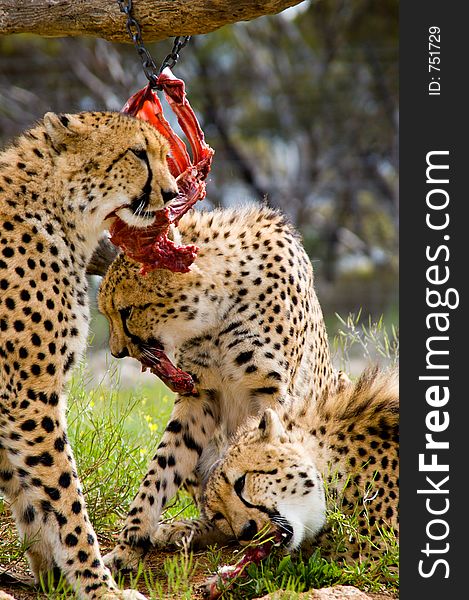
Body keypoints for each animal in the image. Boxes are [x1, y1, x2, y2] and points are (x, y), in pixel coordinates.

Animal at [0, 110, 177, 596]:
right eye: (138, 153)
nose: (174, 193)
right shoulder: (29, 395)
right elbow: (64, 495)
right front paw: (98, 585)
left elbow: (30, 493)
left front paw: (54, 577)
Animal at [93, 206, 342, 572]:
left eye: (126, 312)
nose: (116, 352)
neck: (217, 312)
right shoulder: (198, 397)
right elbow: (160, 471)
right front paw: (130, 543)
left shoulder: (274, 394)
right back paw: (186, 529)